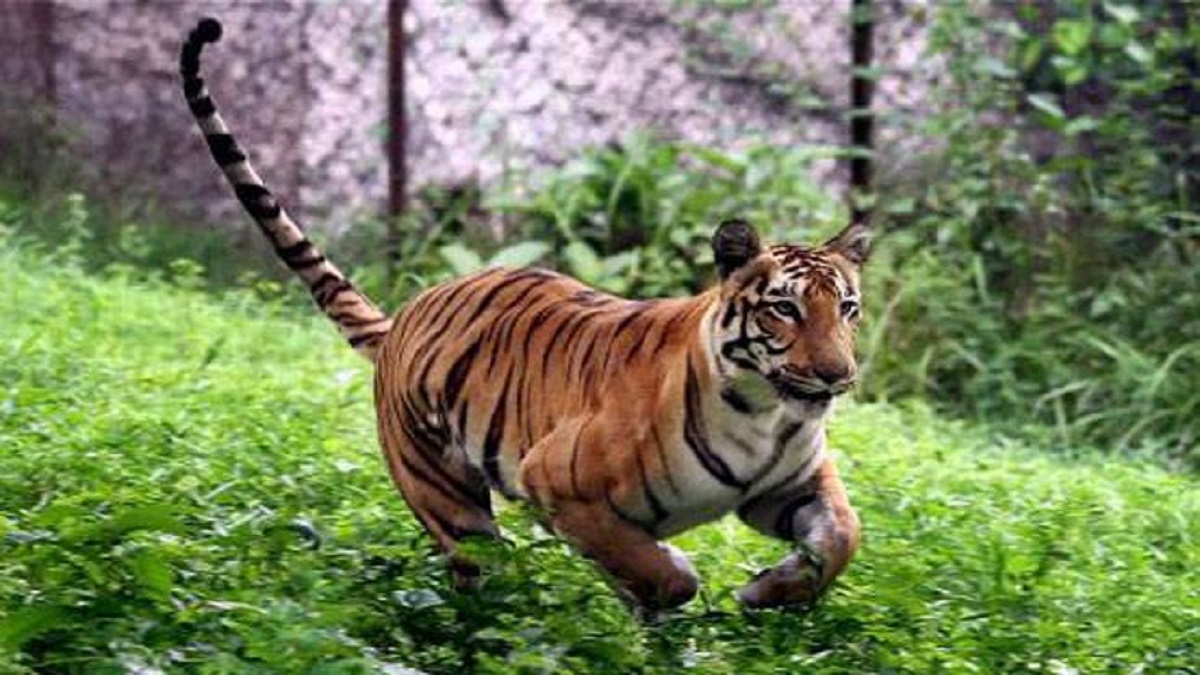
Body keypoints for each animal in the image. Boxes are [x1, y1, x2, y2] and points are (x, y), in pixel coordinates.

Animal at [181, 18, 868, 610]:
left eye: (848, 309)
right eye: (784, 308)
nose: (838, 375)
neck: (763, 415)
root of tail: (406, 314)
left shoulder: (791, 485)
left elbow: (843, 533)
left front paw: (769, 591)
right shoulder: (558, 480)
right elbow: (653, 568)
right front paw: (679, 577)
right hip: (446, 496)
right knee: (479, 574)